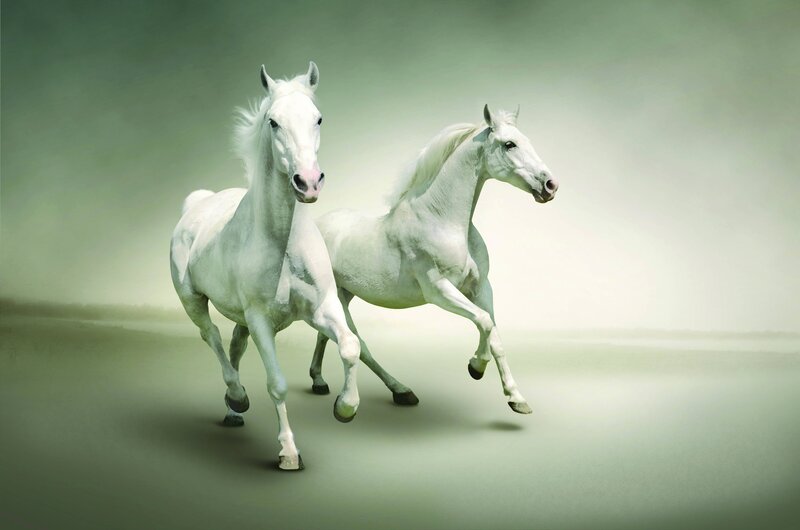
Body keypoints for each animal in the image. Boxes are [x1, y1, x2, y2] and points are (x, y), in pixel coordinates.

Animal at [170, 62, 360, 471]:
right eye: (273, 122)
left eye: (318, 118)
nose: (308, 182)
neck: (283, 243)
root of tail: (198, 203)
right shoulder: (260, 320)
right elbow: (277, 384)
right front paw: (288, 452)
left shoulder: (322, 308)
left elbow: (350, 346)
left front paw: (345, 407)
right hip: (192, 300)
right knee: (211, 337)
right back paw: (237, 397)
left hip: (240, 316)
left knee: (234, 345)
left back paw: (233, 410)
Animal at [308, 105, 558, 414]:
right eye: (509, 144)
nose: (550, 185)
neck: (441, 220)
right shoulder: (439, 291)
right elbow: (484, 322)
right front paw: (476, 367)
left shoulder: (481, 288)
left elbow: (495, 334)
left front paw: (516, 398)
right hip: (338, 298)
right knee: (358, 344)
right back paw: (396, 391)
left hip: (344, 294)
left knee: (326, 335)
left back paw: (320, 381)